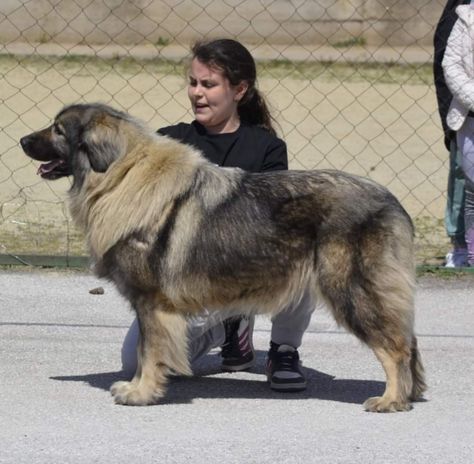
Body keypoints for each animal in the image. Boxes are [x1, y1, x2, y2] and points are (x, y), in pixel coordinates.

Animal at [19, 101, 426, 410]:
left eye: (58, 130)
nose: (22, 139)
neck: (121, 175)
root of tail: (392, 202)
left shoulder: (151, 302)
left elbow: (149, 351)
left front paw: (141, 392)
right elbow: (144, 351)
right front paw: (137, 386)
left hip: (348, 288)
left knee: (395, 347)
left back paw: (390, 399)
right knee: (407, 341)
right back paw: (410, 393)